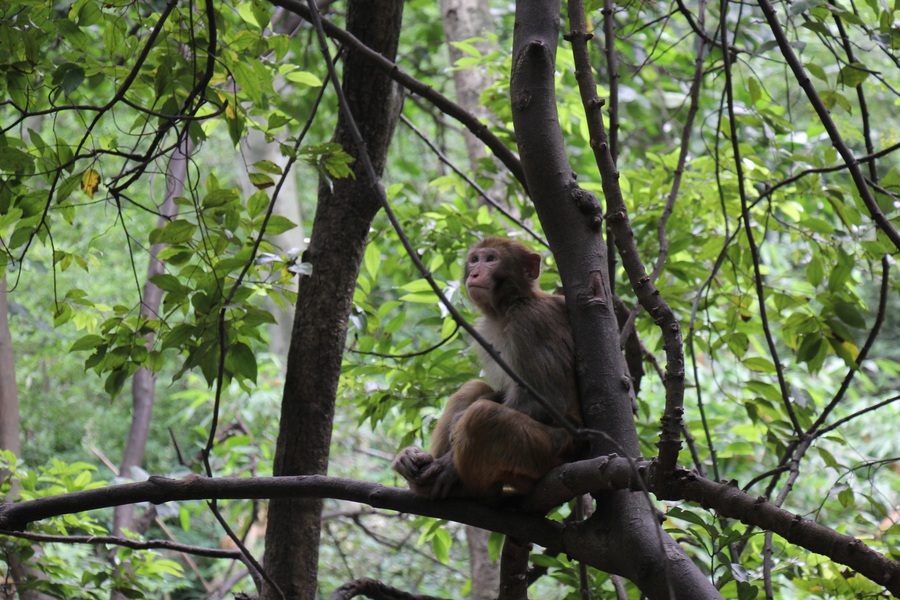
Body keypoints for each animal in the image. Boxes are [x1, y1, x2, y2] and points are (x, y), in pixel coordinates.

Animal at [392, 237, 576, 500]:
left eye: (491, 259)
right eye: (474, 260)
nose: (475, 273)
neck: (510, 305)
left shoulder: (531, 321)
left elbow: (547, 399)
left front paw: (449, 463)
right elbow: (498, 392)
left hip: (549, 452)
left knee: (483, 417)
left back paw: (466, 488)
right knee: (473, 389)